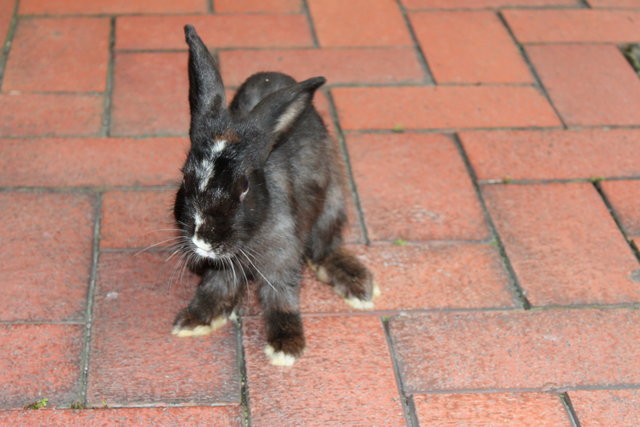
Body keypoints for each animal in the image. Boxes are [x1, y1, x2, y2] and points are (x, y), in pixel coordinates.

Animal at [171, 25, 380, 368]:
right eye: (185, 175)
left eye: (244, 186)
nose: (204, 239)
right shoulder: (222, 267)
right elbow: (216, 286)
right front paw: (195, 320)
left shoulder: (283, 255)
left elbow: (281, 296)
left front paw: (286, 345)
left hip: (332, 203)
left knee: (325, 248)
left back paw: (357, 285)